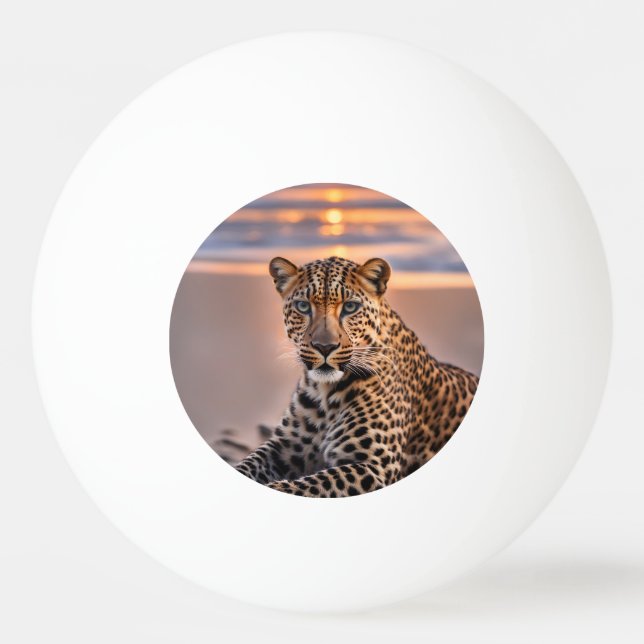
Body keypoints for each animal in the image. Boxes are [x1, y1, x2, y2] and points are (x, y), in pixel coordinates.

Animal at [235, 255, 479, 497]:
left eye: (350, 307)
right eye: (303, 306)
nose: (325, 347)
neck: (324, 393)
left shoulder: (374, 466)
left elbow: (304, 486)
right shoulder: (283, 447)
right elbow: (248, 463)